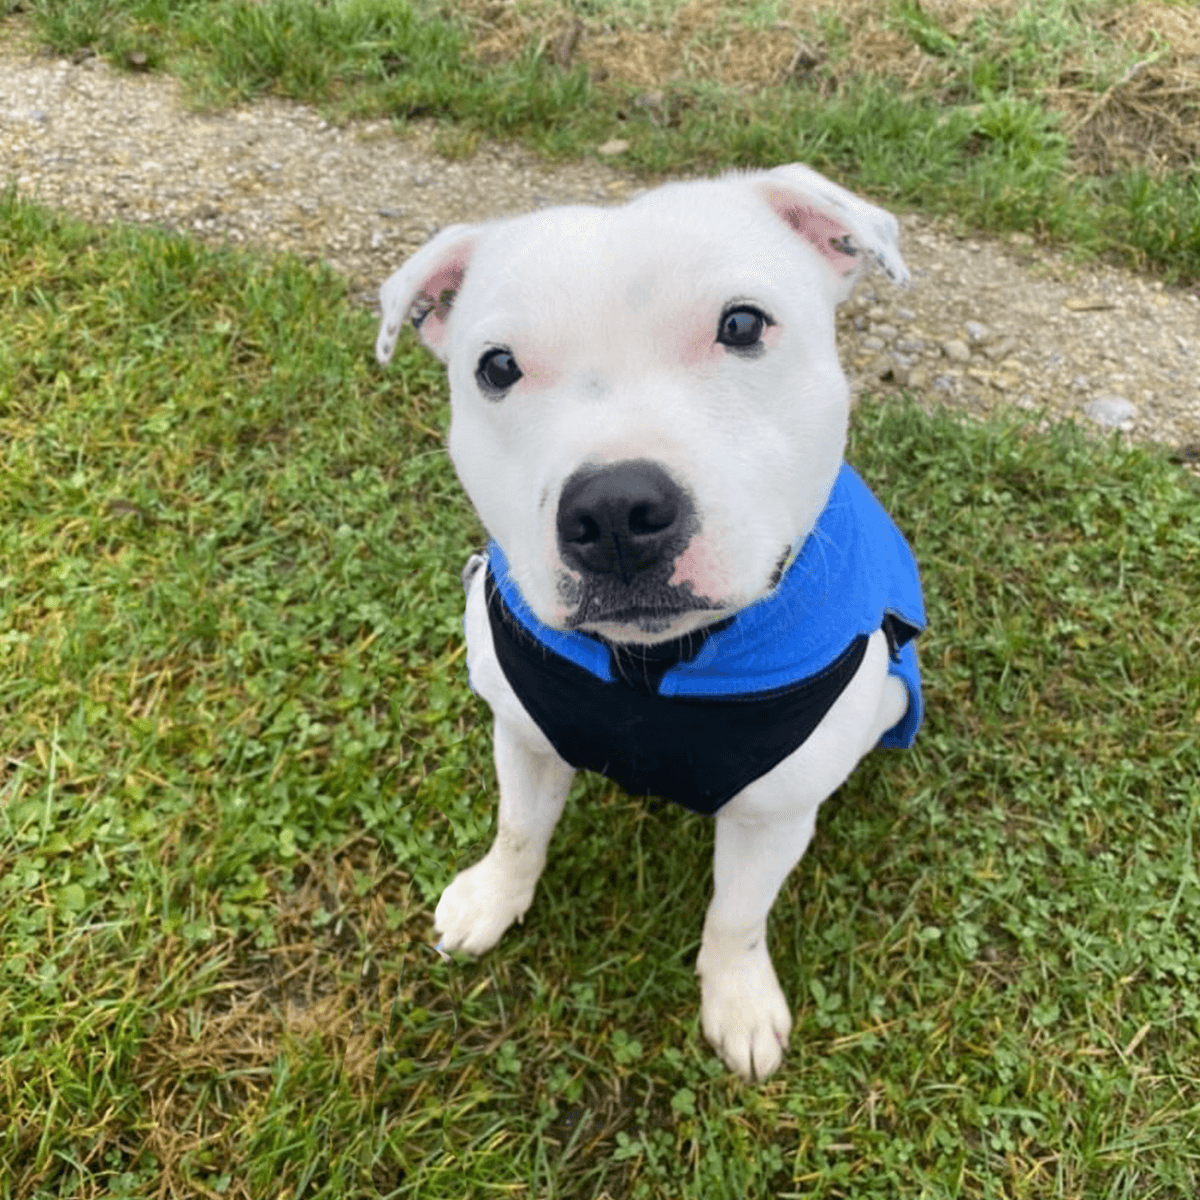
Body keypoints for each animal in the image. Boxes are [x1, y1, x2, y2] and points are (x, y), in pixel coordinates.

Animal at [379, 164, 921, 1084]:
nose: (614, 513)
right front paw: (494, 897)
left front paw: (738, 1002)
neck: (655, 666)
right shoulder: (522, 736)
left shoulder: (772, 815)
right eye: (496, 367)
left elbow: (737, 916)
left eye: (742, 324)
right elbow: (517, 832)